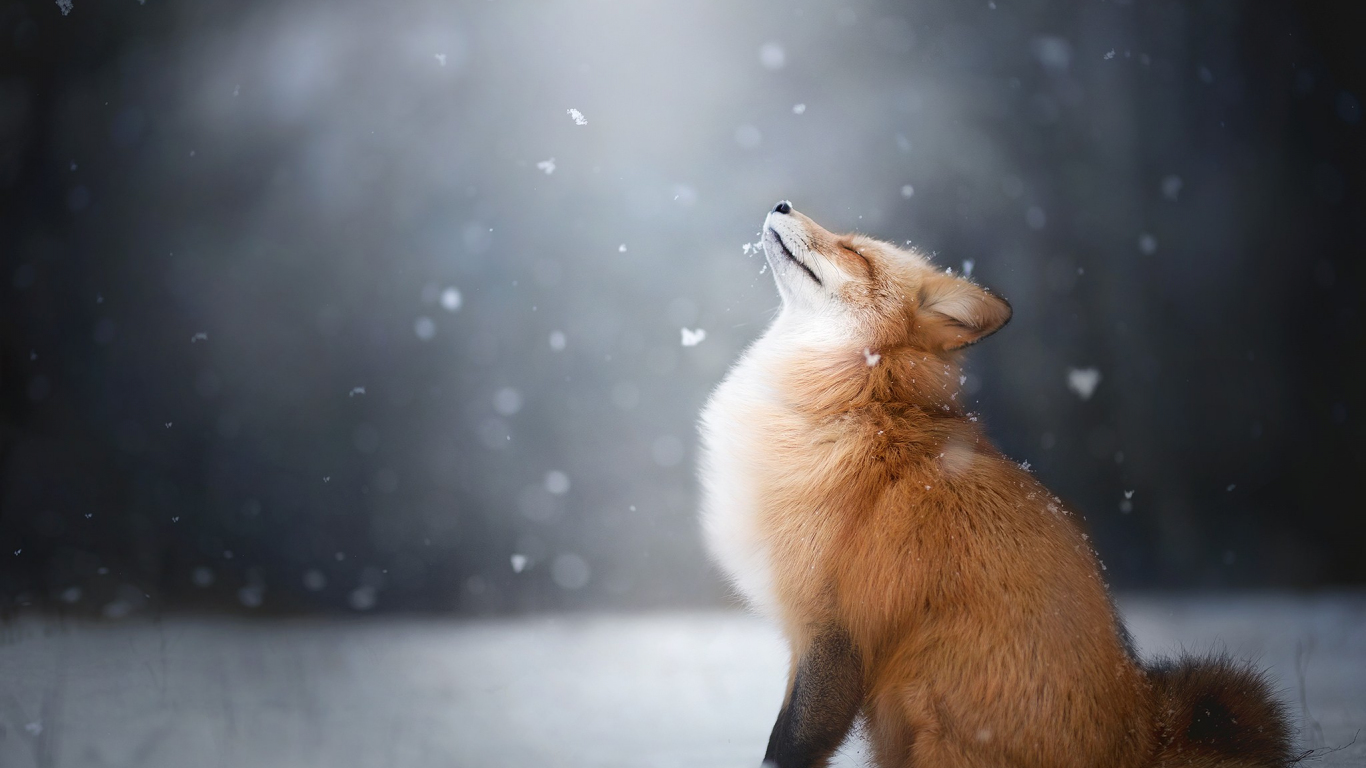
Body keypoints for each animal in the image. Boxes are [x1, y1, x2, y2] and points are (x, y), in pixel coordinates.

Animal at [697, 201, 1294, 768]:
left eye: (854, 252)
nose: (782, 205)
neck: (859, 401)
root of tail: (1146, 733)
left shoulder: (834, 630)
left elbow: (788, 745)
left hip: (927, 700)